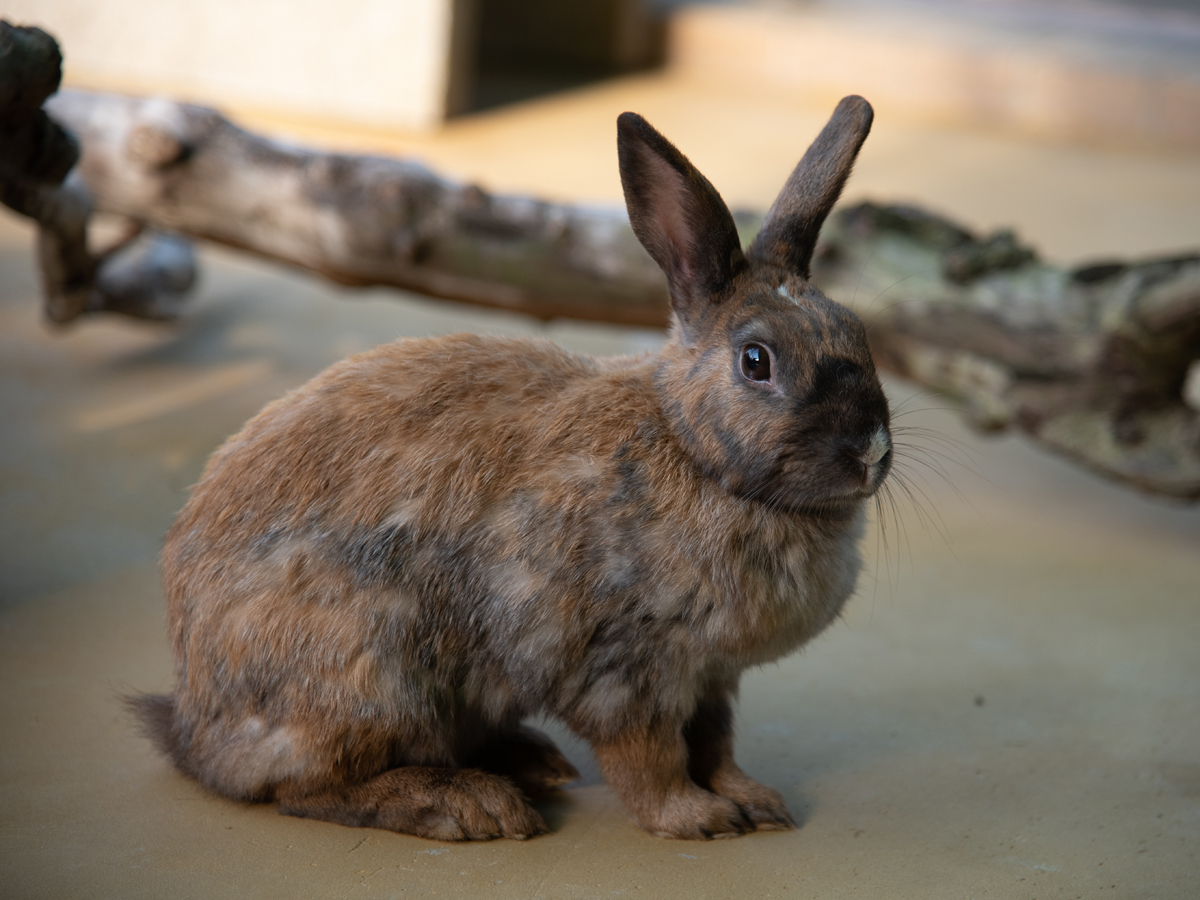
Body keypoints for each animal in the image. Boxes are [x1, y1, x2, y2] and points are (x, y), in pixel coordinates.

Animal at [131, 98, 892, 844]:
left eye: (858, 333)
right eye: (756, 361)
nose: (871, 452)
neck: (689, 446)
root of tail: (193, 724)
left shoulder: (713, 678)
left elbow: (716, 745)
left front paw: (757, 803)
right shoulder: (621, 669)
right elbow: (651, 758)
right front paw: (696, 820)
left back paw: (532, 763)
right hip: (368, 675)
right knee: (303, 789)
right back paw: (468, 804)